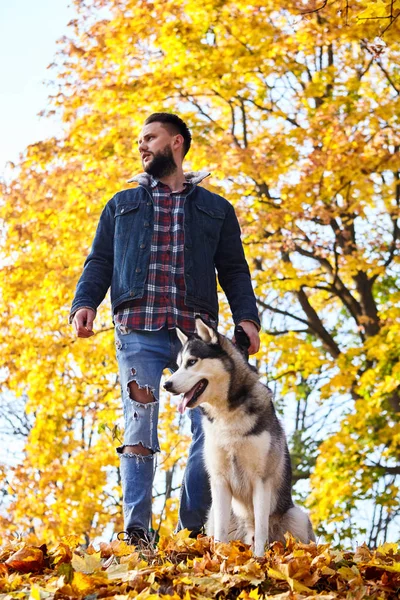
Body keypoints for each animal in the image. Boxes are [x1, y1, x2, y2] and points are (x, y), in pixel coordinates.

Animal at [165, 318, 316, 556]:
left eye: (192, 361)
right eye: (179, 364)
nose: (166, 385)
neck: (228, 416)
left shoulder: (261, 480)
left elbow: (262, 529)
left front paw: (259, 559)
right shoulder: (219, 481)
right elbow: (220, 533)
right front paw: (218, 559)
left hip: (297, 517)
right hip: (215, 513)